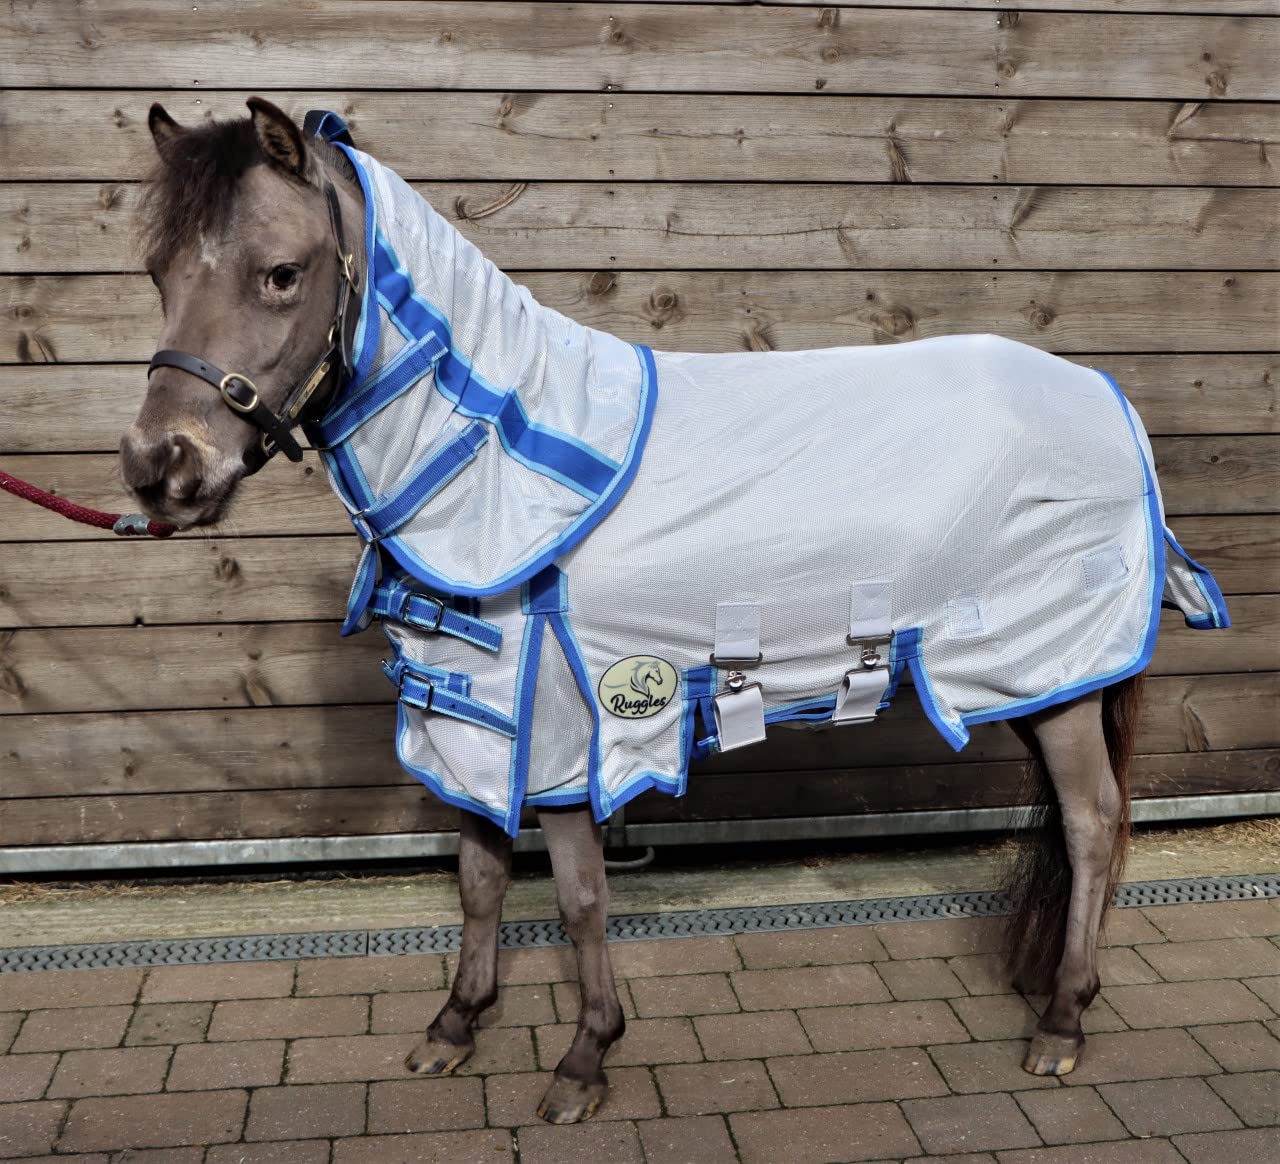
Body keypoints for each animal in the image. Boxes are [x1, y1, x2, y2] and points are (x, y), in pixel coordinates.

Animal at [119, 99, 1229, 1125]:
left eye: (280, 272)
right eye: (158, 273)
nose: (160, 469)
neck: (500, 459)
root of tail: (1103, 397)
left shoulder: (562, 726)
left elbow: (576, 897)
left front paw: (582, 1061)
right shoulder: (473, 704)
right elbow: (479, 875)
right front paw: (455, 1025)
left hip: (1052, 673)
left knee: (1091, 825)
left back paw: (1061, 1023)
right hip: (1038, 680)